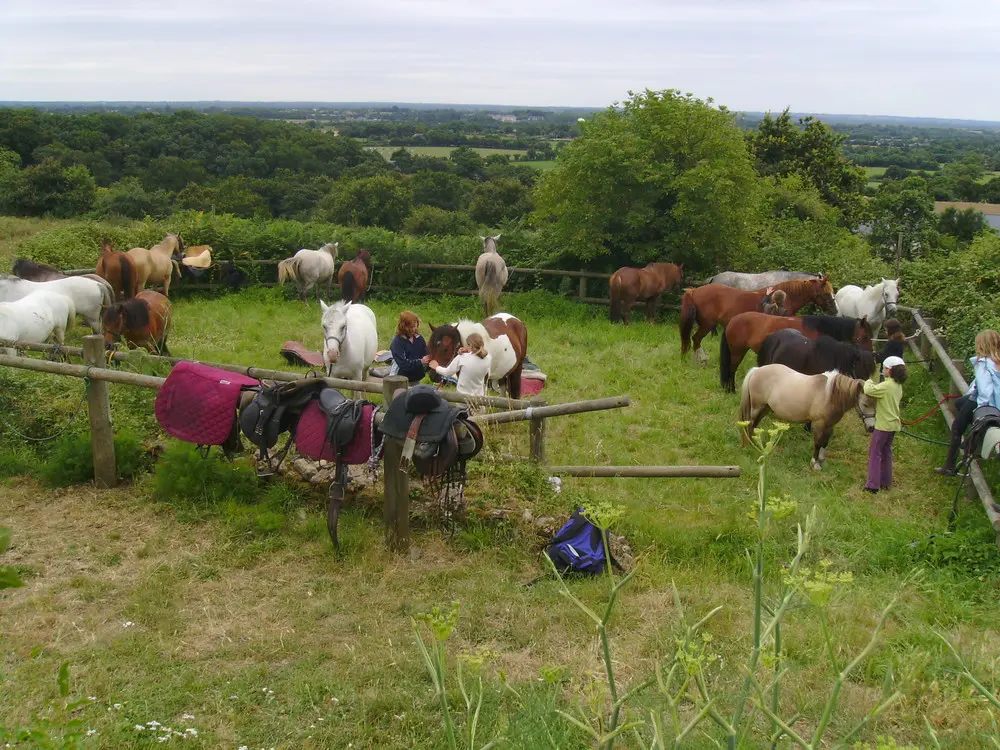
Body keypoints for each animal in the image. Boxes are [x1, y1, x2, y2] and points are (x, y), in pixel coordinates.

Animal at [680, 280, 836, 368]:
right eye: (827, 293)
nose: (835, 310)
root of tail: (694, 290)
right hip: (707, 324)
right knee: (696, 339)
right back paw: (701, 361)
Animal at [716, 312, 872, 394]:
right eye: (864, 336)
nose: (872, 354)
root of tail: (733, 320)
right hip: (737, 352)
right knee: (731, 370)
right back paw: (731, 390)